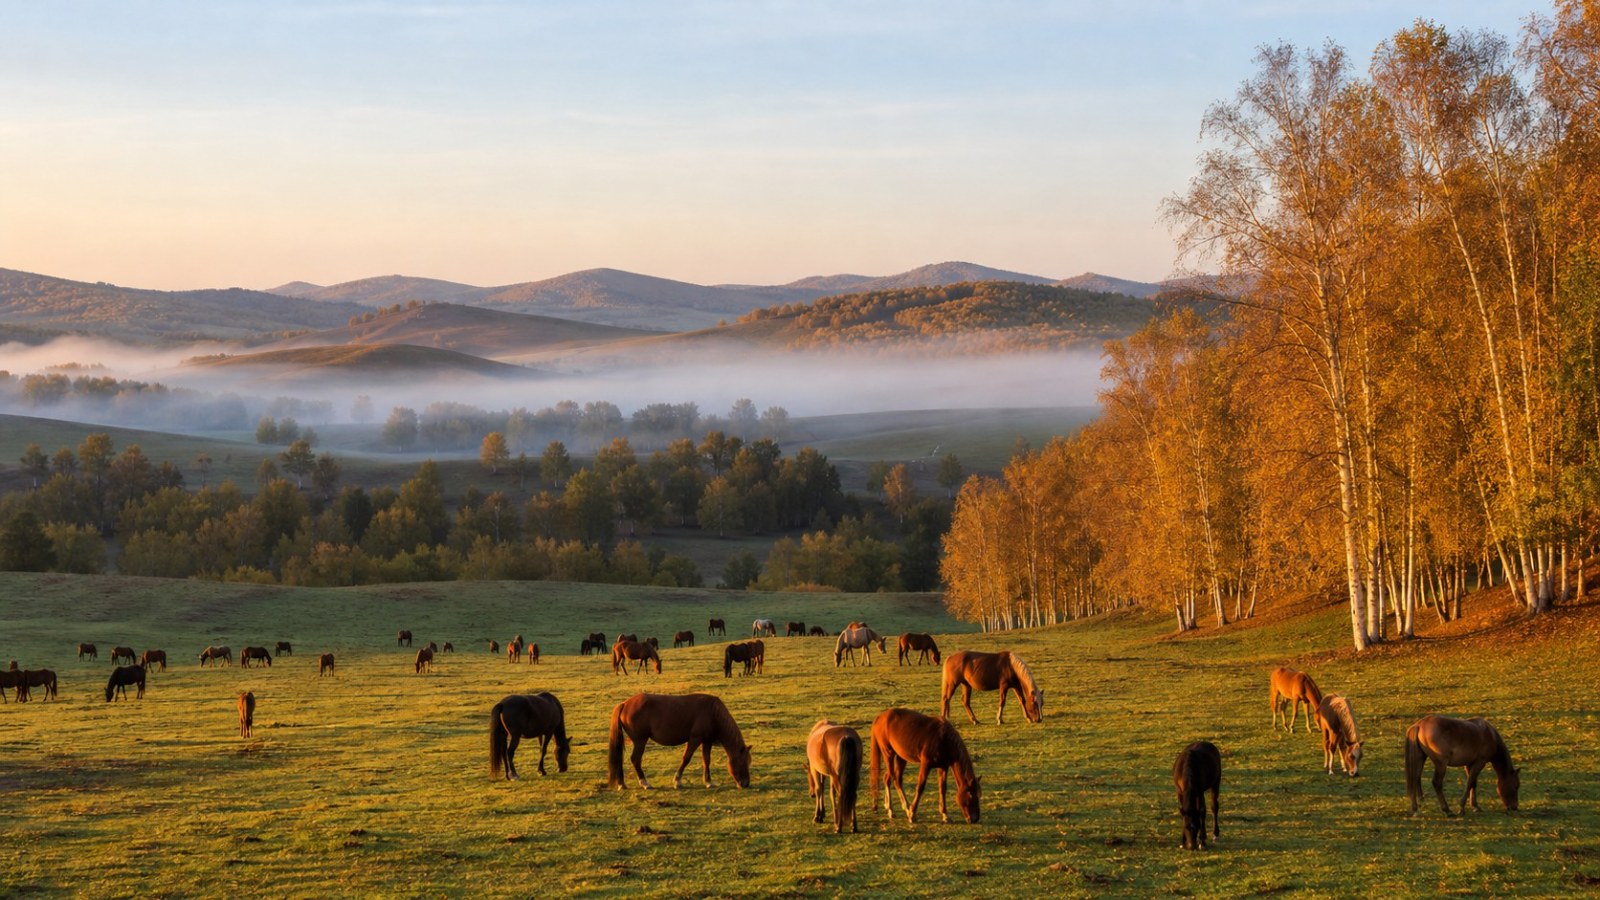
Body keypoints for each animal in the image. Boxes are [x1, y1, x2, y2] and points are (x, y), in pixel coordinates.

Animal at [606, 692, 751, 790]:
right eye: (743, 762)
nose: (746, 784)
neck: (713, 713)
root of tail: (624, 704)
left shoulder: (706, 741)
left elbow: (706, 761)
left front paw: (708, 782)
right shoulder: (695, 739)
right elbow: (686, 759)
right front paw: (677, 781)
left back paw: (622, 783)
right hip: (640, 741)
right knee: (635, 759)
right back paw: (645, 783)